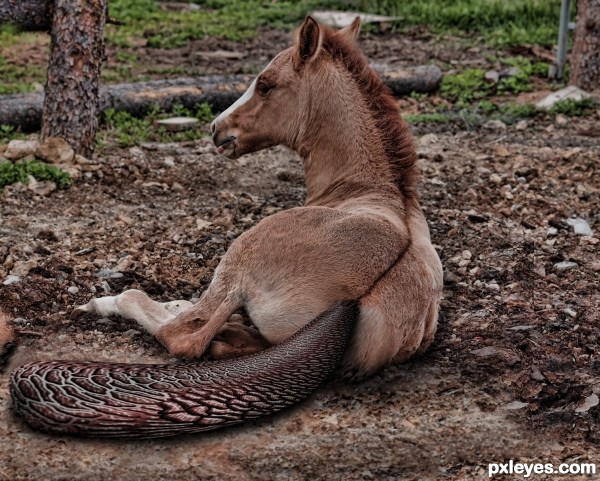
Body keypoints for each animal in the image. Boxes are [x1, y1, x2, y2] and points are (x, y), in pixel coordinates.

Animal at [9, 16, 440, 436]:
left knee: (181, 333)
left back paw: (111, 303)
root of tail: (364, 300)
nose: (217, 128)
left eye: (265, 84)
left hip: (238, 259)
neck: (366, 190)